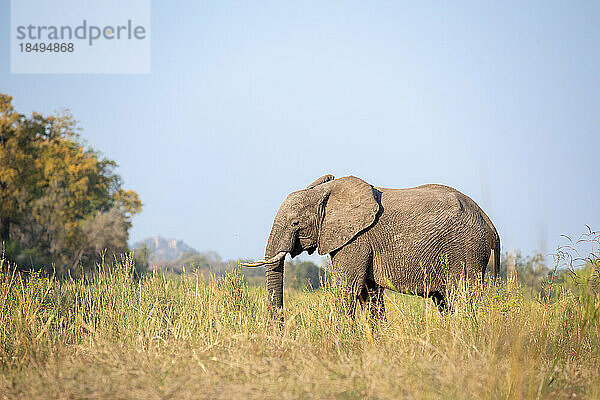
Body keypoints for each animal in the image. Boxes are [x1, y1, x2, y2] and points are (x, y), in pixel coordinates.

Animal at [241, 175, 500, 318]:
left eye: (295, 223)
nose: (279, 332)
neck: (327, 193)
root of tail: (489, 223)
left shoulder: (357, 240)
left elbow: (346, 290)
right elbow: (370, 295)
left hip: (466, 252)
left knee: (463, 297)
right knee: (445, 302)